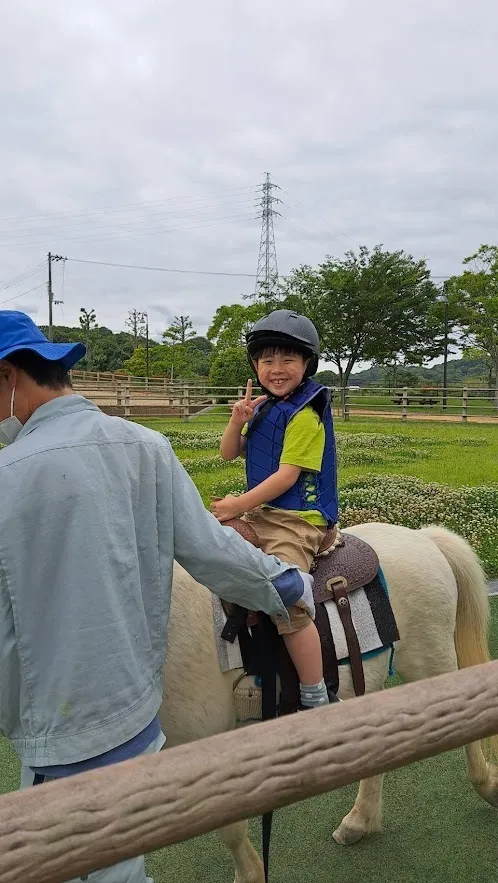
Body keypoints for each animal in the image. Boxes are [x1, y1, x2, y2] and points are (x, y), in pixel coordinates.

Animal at [159, 524, 498, 883]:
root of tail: (423, 537)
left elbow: (230, 829)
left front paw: (250, 874)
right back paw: (359, 821)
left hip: (430, 664)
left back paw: (487, 786)